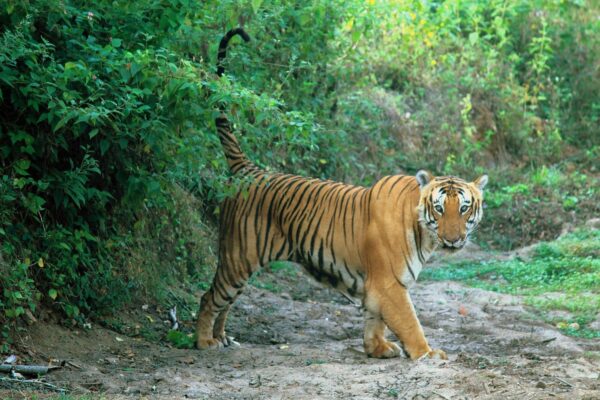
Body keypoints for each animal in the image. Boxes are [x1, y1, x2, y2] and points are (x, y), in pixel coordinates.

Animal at [197, 27, 488, 360]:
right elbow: (410, 322)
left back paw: (222, 337)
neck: (423, 233)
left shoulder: (377, 287)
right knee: (210, 297)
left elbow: (374, 320)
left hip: (243, 266)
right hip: (238, 257)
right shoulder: (389, 283)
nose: (453, 239)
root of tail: (249, 168)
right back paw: (204, 342)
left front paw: (377, 348)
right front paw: (427, 354)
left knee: (226, 302)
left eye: (464, 208)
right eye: (439, 208)